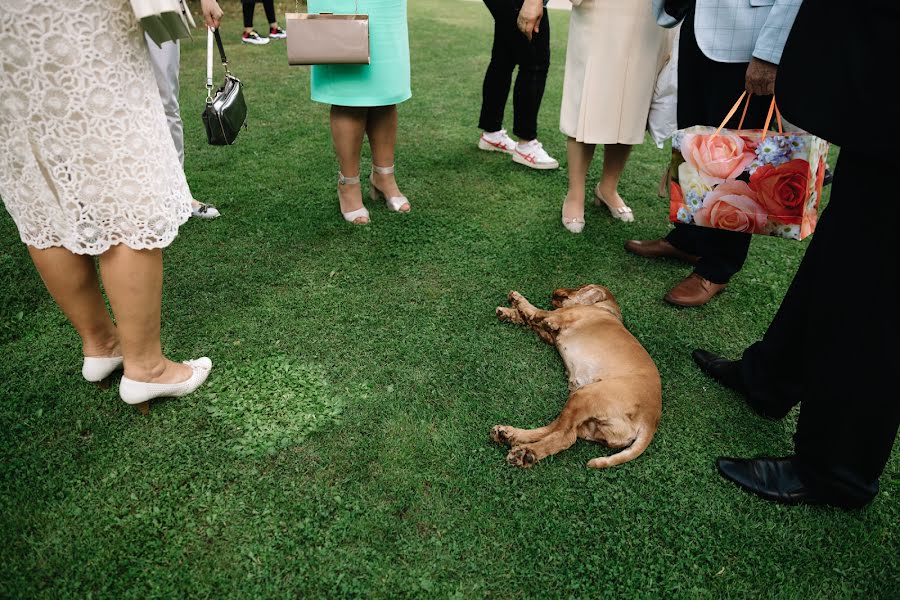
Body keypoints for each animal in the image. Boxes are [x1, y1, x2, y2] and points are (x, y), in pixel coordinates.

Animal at [492, 286, 660, 468]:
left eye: (581, 287)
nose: (555, 291)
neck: (605, 309)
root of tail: (650, 421)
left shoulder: (557, 316)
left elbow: (535, 310)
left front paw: (517, 299)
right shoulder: (550, 334)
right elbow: (529, 319)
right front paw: (508, 313)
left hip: (584, 396)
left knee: (564, 435)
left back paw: (525, 452)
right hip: (588, 421)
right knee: (556, 430)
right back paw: (508, 435)